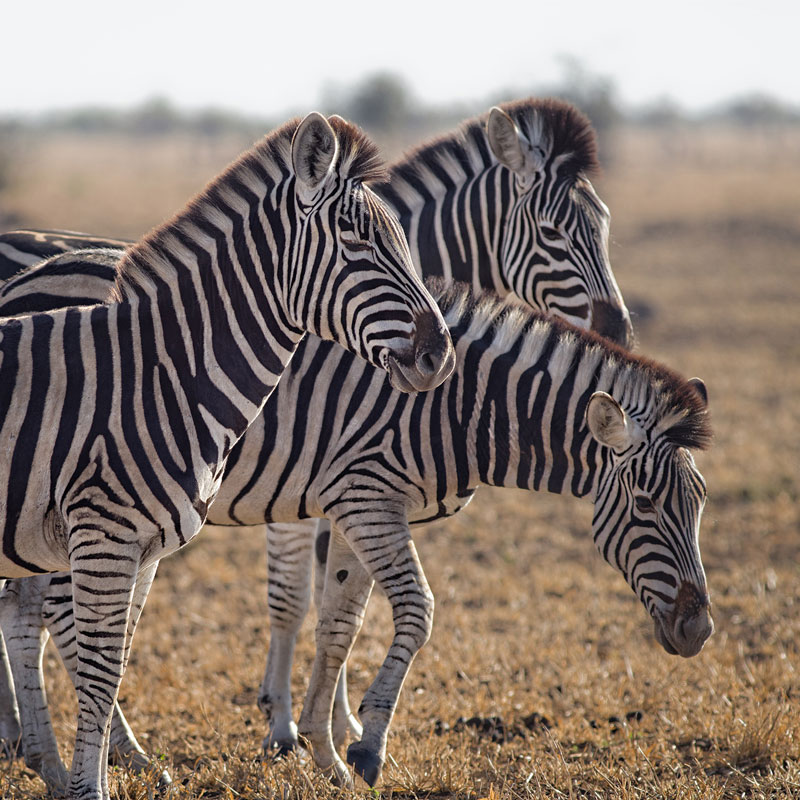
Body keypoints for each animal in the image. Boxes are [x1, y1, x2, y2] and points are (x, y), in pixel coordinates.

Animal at [0, 112, 456, 800]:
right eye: (355, 242)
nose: (442, 356)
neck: (164, 373)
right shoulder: (104, 535)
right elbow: (100, 666)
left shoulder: (138, 547)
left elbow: (113, 663)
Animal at [0, 276, 708, 788]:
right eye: (647, 504)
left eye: (700, 504)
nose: (699, 631)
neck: (455, 405)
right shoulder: (367, 498)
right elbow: (417, 611)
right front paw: (366, 746)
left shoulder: (356, 506)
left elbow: (339, 624)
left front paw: (325, 753)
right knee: (59, 622)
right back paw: (102, 760)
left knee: (28, 612)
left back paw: (54, 759)